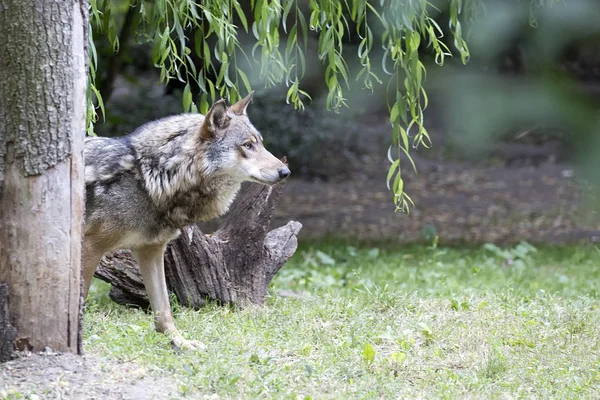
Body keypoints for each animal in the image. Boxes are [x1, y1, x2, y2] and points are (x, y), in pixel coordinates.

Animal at [83, 92, 290, 348]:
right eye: (247, 146)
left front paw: (180, 342)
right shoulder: (90, 247)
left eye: (260, 143)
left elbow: (164, 310)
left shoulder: (150, 250)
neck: (149, 178)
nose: (285, 172)